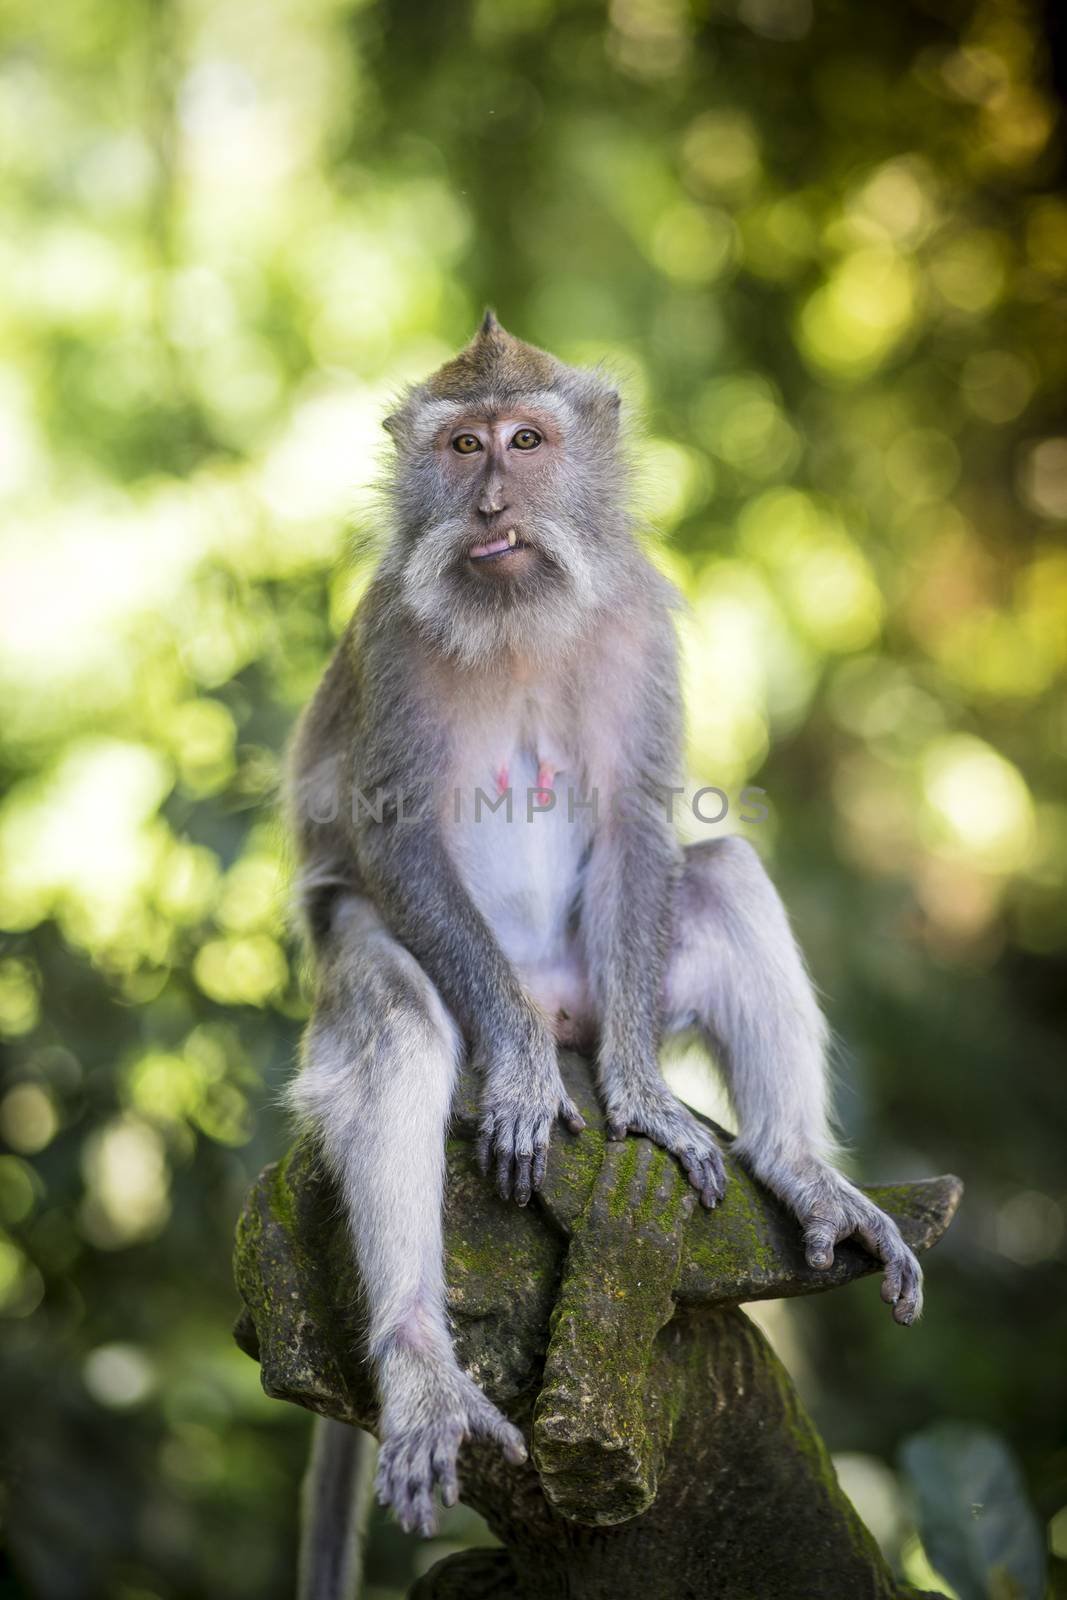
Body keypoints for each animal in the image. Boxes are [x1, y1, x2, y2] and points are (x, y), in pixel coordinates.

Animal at [286, 312, 927, 1574]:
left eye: (526, 441)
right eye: (463, 445)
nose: (491, 504)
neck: (516, 622)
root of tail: (556, 1002)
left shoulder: (639, 623)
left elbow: (639, 822)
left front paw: (640, 1100)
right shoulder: (390, 637)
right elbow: (397, 836)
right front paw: (526, 1081)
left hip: (604, 982)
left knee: (719, 874)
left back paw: (794, 1166)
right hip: (422, 974)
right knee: (401, 1020)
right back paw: (423, 1359)